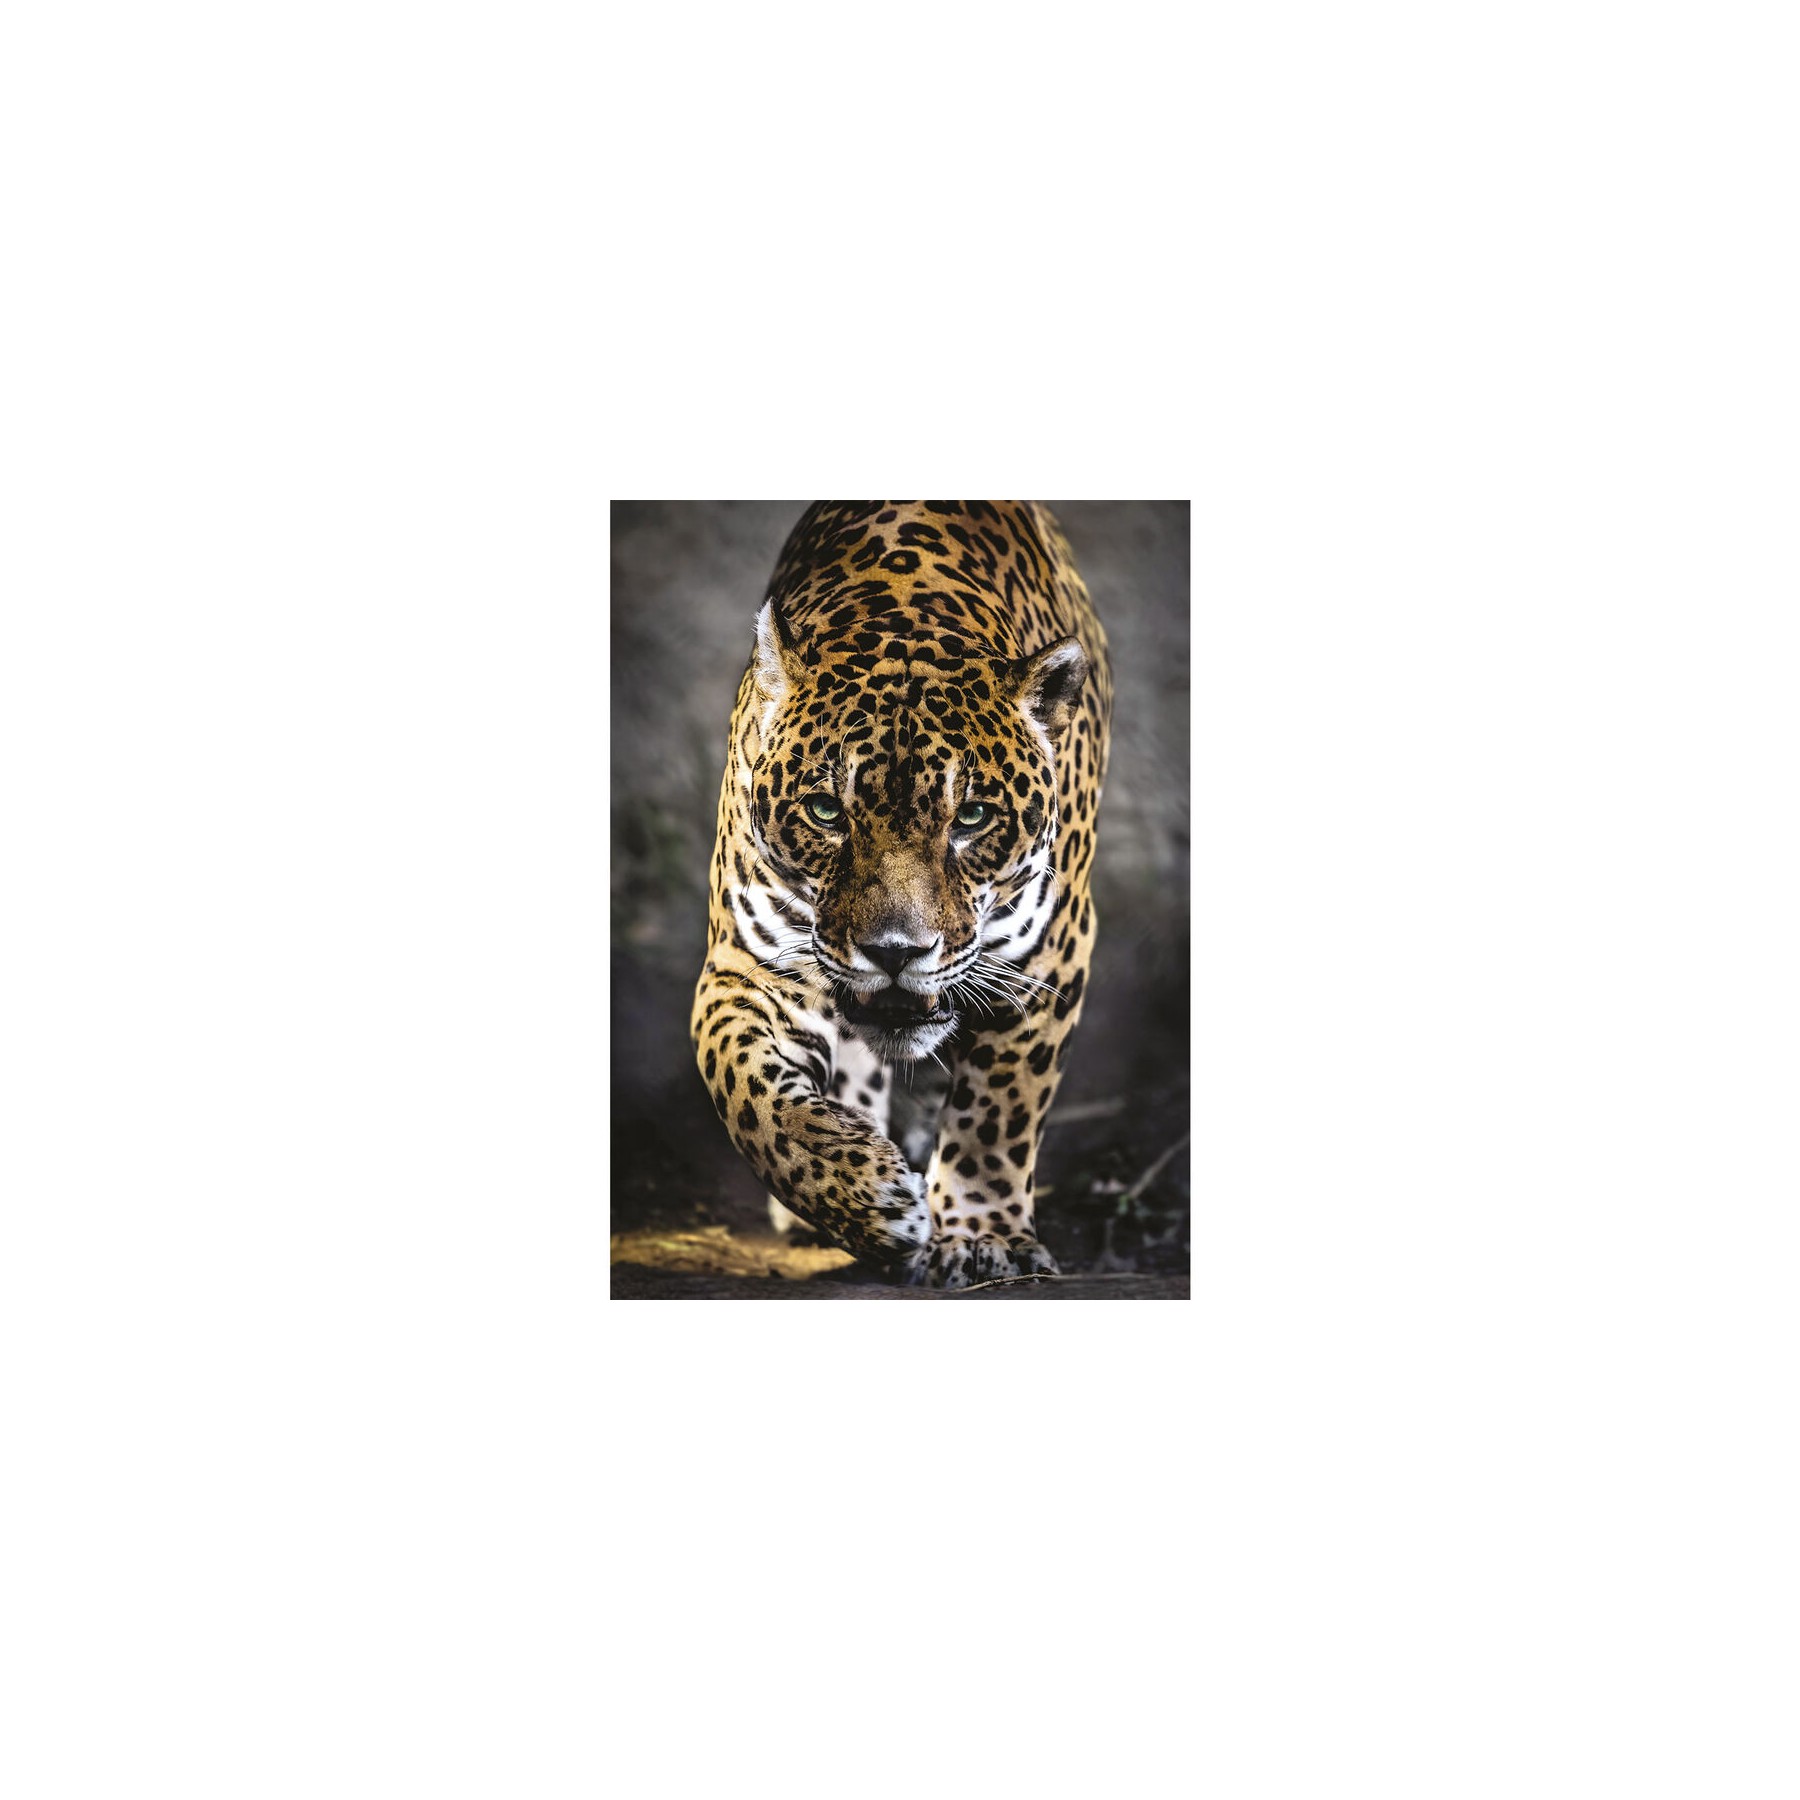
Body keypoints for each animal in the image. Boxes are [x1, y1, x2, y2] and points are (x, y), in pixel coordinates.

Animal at [691, 502, 1112, 1289]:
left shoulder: (1047, 959)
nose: (895, 952)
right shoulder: (747, 963)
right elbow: (745, 1088)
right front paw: (861, 1195)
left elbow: (998, 1111)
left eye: (971, 817)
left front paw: (982, 1238)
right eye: (827, 811)